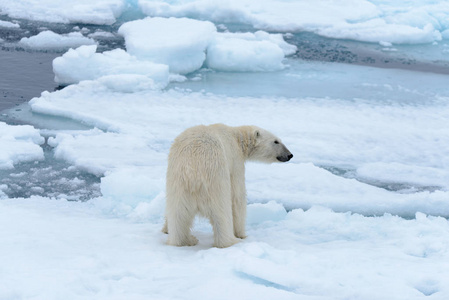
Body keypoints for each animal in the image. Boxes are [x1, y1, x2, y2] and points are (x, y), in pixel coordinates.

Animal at [163, 123, 292, 247]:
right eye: (276, 141)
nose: (290, 155)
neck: (237, 137)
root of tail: (192, 171)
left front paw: (165, 230)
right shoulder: (235, 162)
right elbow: (237, 196)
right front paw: (241, 234)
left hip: (178, 187)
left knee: (177, 215)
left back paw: (186, 240)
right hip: (216, 181)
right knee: (222, 213)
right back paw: (230, 241)